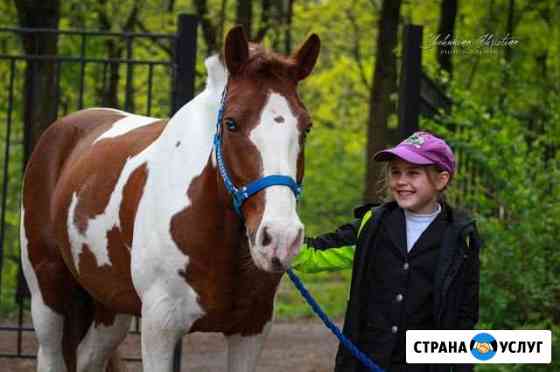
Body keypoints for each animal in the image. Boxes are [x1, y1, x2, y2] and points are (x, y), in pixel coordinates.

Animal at [20, 26, 320, 372]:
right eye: (231, 123)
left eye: (306, 127)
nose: (280, 238)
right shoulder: (159, 327)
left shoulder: (251, 330)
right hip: (47, 295)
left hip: (110, 307)